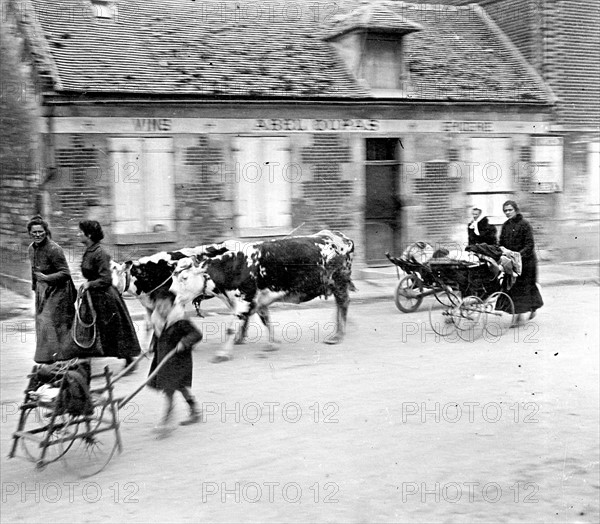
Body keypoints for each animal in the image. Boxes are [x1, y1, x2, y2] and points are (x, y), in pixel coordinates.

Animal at [169, 231, 356, 362]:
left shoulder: (244, 300)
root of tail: (340, 237)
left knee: (343, 303)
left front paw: (223, 353)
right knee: (340, 305)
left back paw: (338, 335)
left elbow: (232, 327)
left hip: (338, 282)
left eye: (184, 278)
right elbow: (266, 320)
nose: (172, 295)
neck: (235, 265)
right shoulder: (258, 301)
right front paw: (272, 343)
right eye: (172, 276)